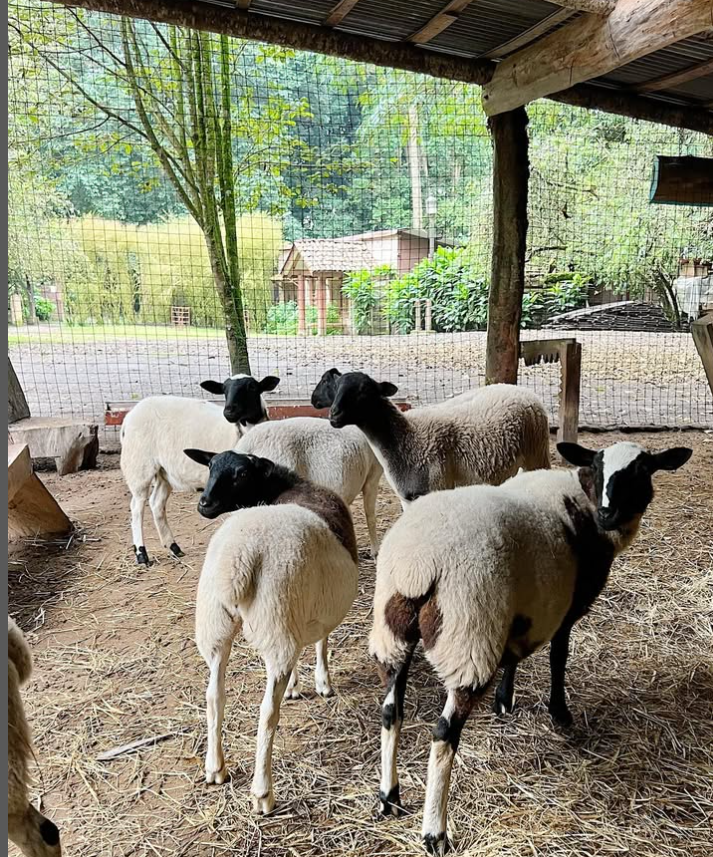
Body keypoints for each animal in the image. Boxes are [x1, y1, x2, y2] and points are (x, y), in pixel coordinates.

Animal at [120, 374, 279, 564]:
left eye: (252, 387)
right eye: (224, 390)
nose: (229, 412)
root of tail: (129, 415)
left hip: (164, 472)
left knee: (156, 503)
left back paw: (173, 547)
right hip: (138, 466)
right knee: (137, 507)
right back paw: (141, 553)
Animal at [184, 448, 359, 813]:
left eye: (240, 474)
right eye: (210, 466)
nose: (204, 503)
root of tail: (240, 557)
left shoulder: (297, 616)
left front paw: (296, 685)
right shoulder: (317, 610)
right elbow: (321, 641)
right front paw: (322, 682)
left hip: (214, 624)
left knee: (214, 695)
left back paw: (215, 767)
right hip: (275, 620)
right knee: (267, 712)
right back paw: (262, 791)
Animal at [312, 369, 550, 506]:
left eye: (363, 391)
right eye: (336, 387)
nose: (334, 414)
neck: (407, 437)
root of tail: (523, 391)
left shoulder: (437, 485)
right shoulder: (407, 498)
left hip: (537, 453)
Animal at [369, 440, 692, 854]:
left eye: (641, 471)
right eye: (599, 467)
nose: (608, 513)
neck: (582, 501)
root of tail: (417, 563)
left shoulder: (523, 612)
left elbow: (516, 656)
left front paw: (504, 702)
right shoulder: (566, 608)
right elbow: (558, 657)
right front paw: (560, 713)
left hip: (392, 632)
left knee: (390, 711)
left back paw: (389, 797)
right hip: (468, 634)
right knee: (443, 733)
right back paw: (434, 832)